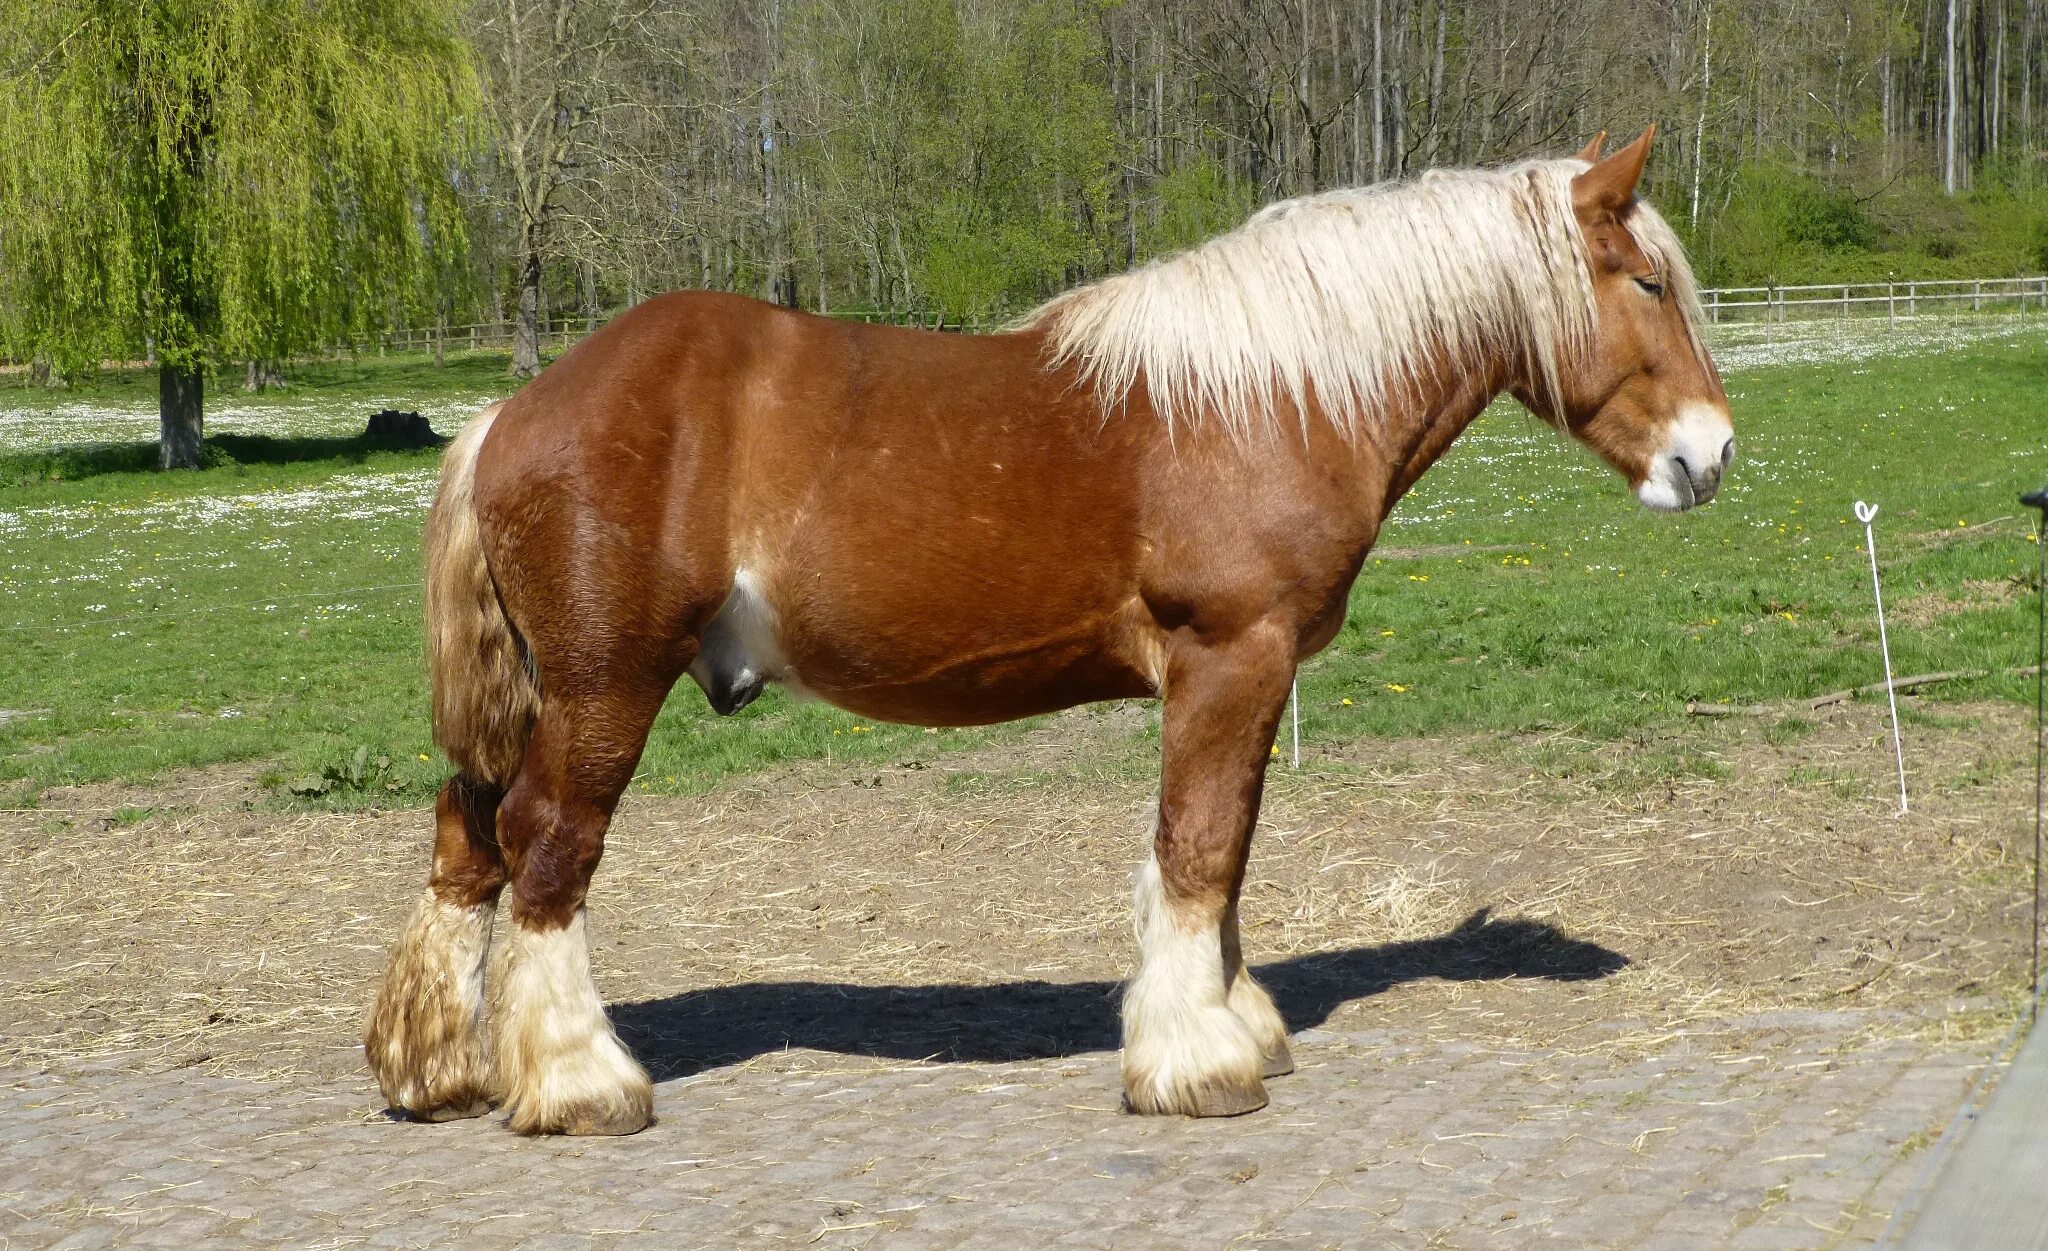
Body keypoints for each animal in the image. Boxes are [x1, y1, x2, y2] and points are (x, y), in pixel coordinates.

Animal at [364, 124, 1728, 1138]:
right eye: (1646, 281)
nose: (1708, 456)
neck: (1268, 398)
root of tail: (515, 411)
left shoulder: (1245, 679)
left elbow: (1226, 855)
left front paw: (1236, 1023)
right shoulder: (1228, 658)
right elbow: (1197, 849)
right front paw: (1195, 1061)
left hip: (542, 696)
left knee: (469, 835)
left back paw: (437, 1071)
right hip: (606, 688)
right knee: (549, 849)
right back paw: (579, 1080)